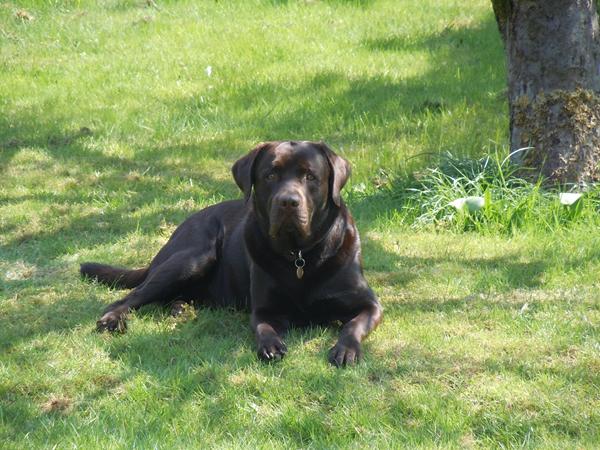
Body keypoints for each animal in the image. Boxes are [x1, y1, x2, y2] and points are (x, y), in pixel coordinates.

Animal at [81, 141, 380, 366]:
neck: (299, 254)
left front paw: (346, 349)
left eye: (310, 177)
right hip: (194, 257)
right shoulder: (264, 309)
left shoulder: (370, 304)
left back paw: (180, 308)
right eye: (270, 175)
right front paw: (270, 345)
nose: (288, 202)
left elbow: (353, 325)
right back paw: (113, 319)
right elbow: (263, 327)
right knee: (133, 295)